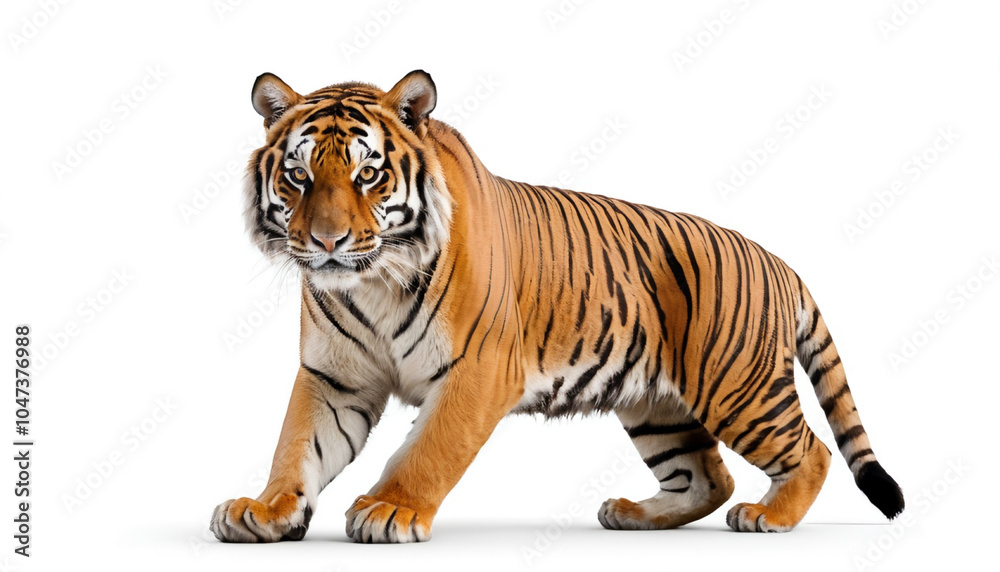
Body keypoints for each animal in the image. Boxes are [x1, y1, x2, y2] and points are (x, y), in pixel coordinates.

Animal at [210, 70, 904, 544]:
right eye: (298, 176)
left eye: (368, 176)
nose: (326, 242)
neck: (373, 283)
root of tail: (776, 260)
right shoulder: (334, 377)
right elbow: (297, 445)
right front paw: (266, 510)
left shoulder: (479, 370)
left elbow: (429, 448)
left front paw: (390, 509)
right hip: (657, 407)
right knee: (707, 476)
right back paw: (631, 514)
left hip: (738, 388)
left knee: (809, 452)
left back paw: (767, 516)